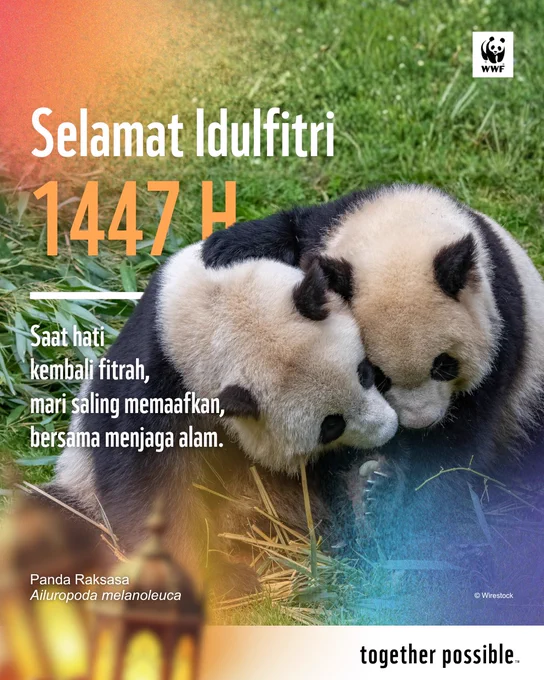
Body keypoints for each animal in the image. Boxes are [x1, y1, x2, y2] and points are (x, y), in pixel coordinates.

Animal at [51, 242, 398, 594]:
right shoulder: (151, 395)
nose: (389, 429)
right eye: (331, 425)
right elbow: (149, 487)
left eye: (364, 372)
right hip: (82, 491)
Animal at [202, 184, 544, 552]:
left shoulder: (502, 330)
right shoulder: (326, 226)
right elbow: (287, 228)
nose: (420, 423)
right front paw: (222, 249)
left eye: (444, 365)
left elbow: (456, 447)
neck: (400, 227)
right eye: (378, 376)